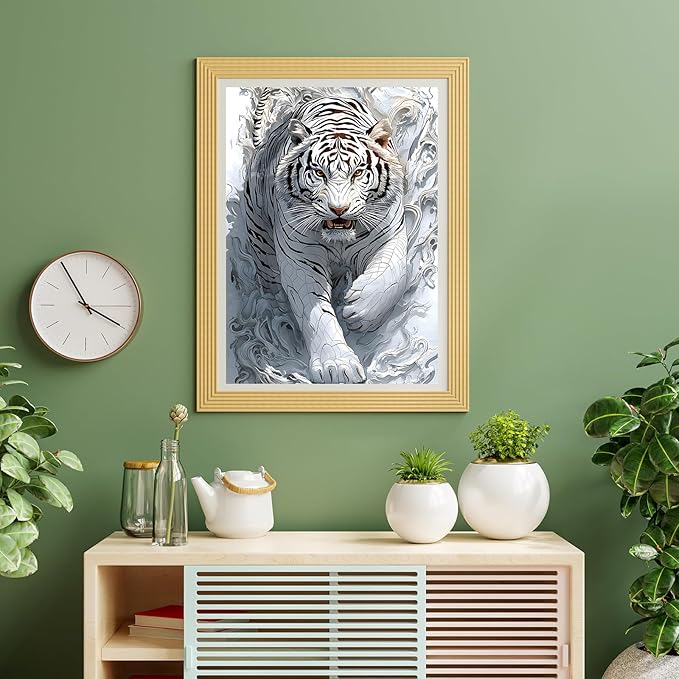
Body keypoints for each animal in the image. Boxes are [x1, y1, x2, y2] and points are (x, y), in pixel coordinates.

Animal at [243, 93, 407, 384]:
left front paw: (360, 310)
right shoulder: (300, 259)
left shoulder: (389, 235)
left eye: (358, 173)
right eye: (319, 173)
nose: (338, 209)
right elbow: (315, 312)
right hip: (261, 240)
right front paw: (338, 367)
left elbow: (392, 274)